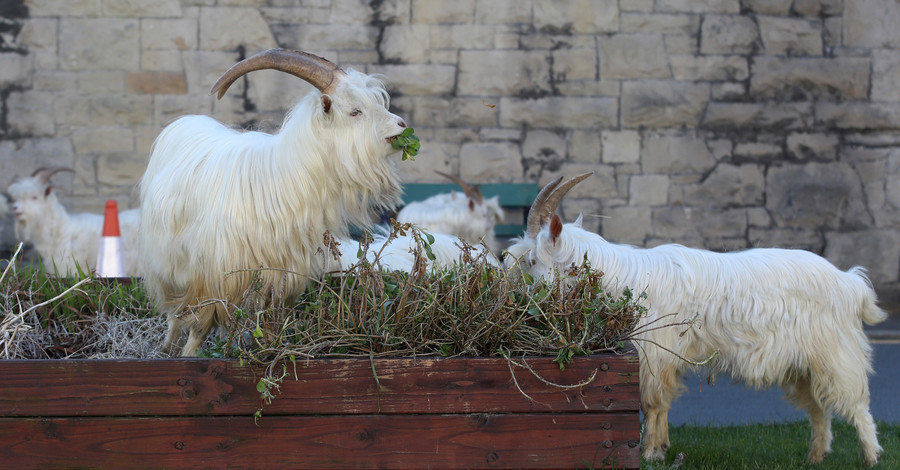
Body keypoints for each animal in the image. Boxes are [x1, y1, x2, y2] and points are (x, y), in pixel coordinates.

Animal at [510, 174, 888, 468]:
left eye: (532, 260)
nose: (516, 295)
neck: (622, 281)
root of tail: (850, 282)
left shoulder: (654, 352)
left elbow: (652, 402)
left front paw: (650, 453)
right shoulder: (663, 357)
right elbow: (663, 404)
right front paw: (661, 448)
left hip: (835, 352)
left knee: (856, 403)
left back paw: (871, 457)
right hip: (804, 362)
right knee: (819, 407)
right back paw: (816, 456)